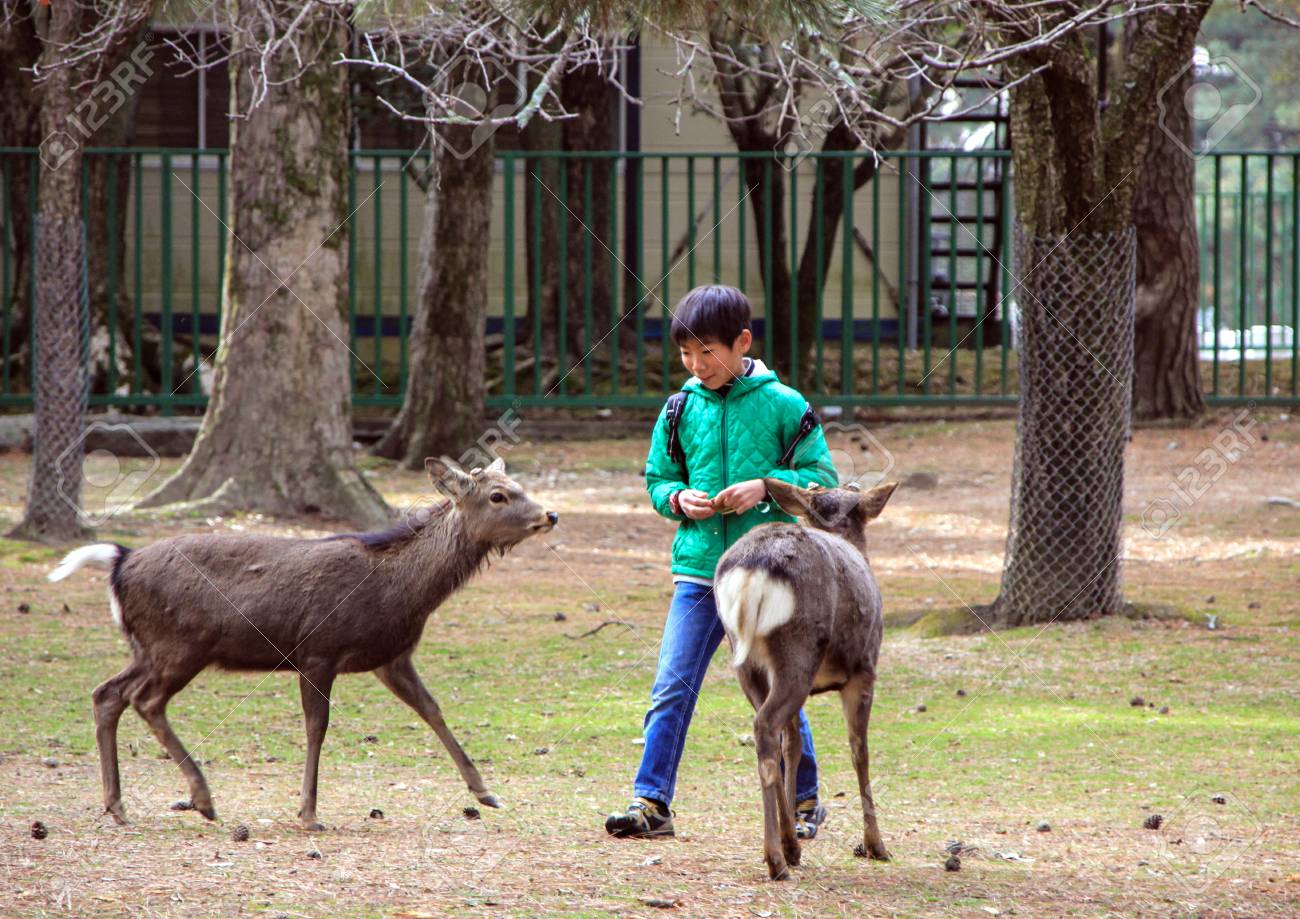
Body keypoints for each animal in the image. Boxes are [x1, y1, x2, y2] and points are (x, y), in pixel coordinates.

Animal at [47, 456, 556, 830]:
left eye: (516, 483)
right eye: (498, 495)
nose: (549, 514)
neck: (404, 593)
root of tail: (120, 561)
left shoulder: (392, 656)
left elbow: (432, 710)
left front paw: (486, 792)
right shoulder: (317, 650)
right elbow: (317, 727)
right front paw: (309, 814)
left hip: (148, 647)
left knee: (107, 693)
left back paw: (117, 805)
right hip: (179, 645)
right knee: (145, 700)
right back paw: (202, 798)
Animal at [715, 478, 898, 880]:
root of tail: (754, 571)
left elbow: (796, 745)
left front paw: (794, 840)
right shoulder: (864, 669)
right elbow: (859, 750)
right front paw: (875, 844)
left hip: (746, 660)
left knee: (771, 734)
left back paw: (785, 849)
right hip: (798, 652)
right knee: (766, 726)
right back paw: (775, 860)